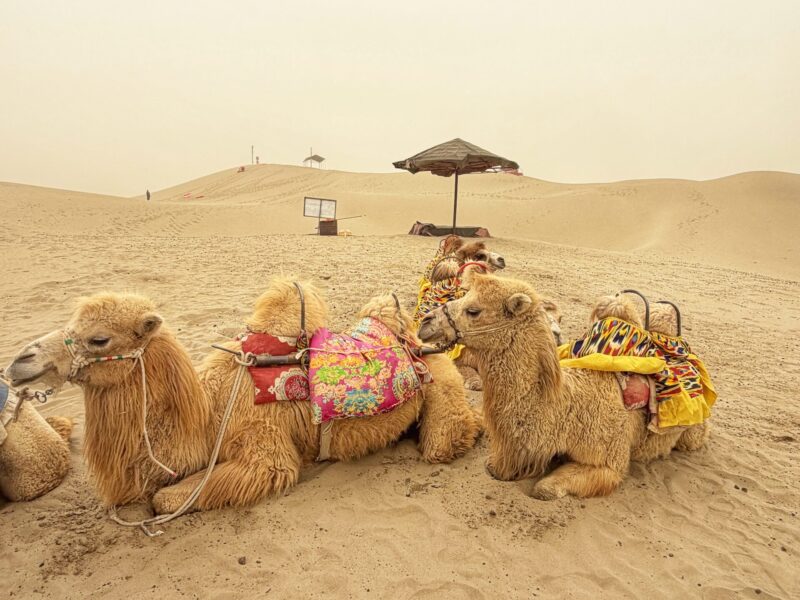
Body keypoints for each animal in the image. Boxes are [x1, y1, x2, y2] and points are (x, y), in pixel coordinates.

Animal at [4, 279, 479, 516]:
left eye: (99, 338)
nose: (21, 362)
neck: (209, 410)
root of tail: (414, 337)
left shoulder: (264, 452)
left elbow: (164, 499)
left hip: (440, 379)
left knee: (449, 435)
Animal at [417, 272, 711, 500]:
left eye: (473, 310)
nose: (425, 323)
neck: (565, 411)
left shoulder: (610, 463)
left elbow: (545, 490)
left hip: (693, 430)